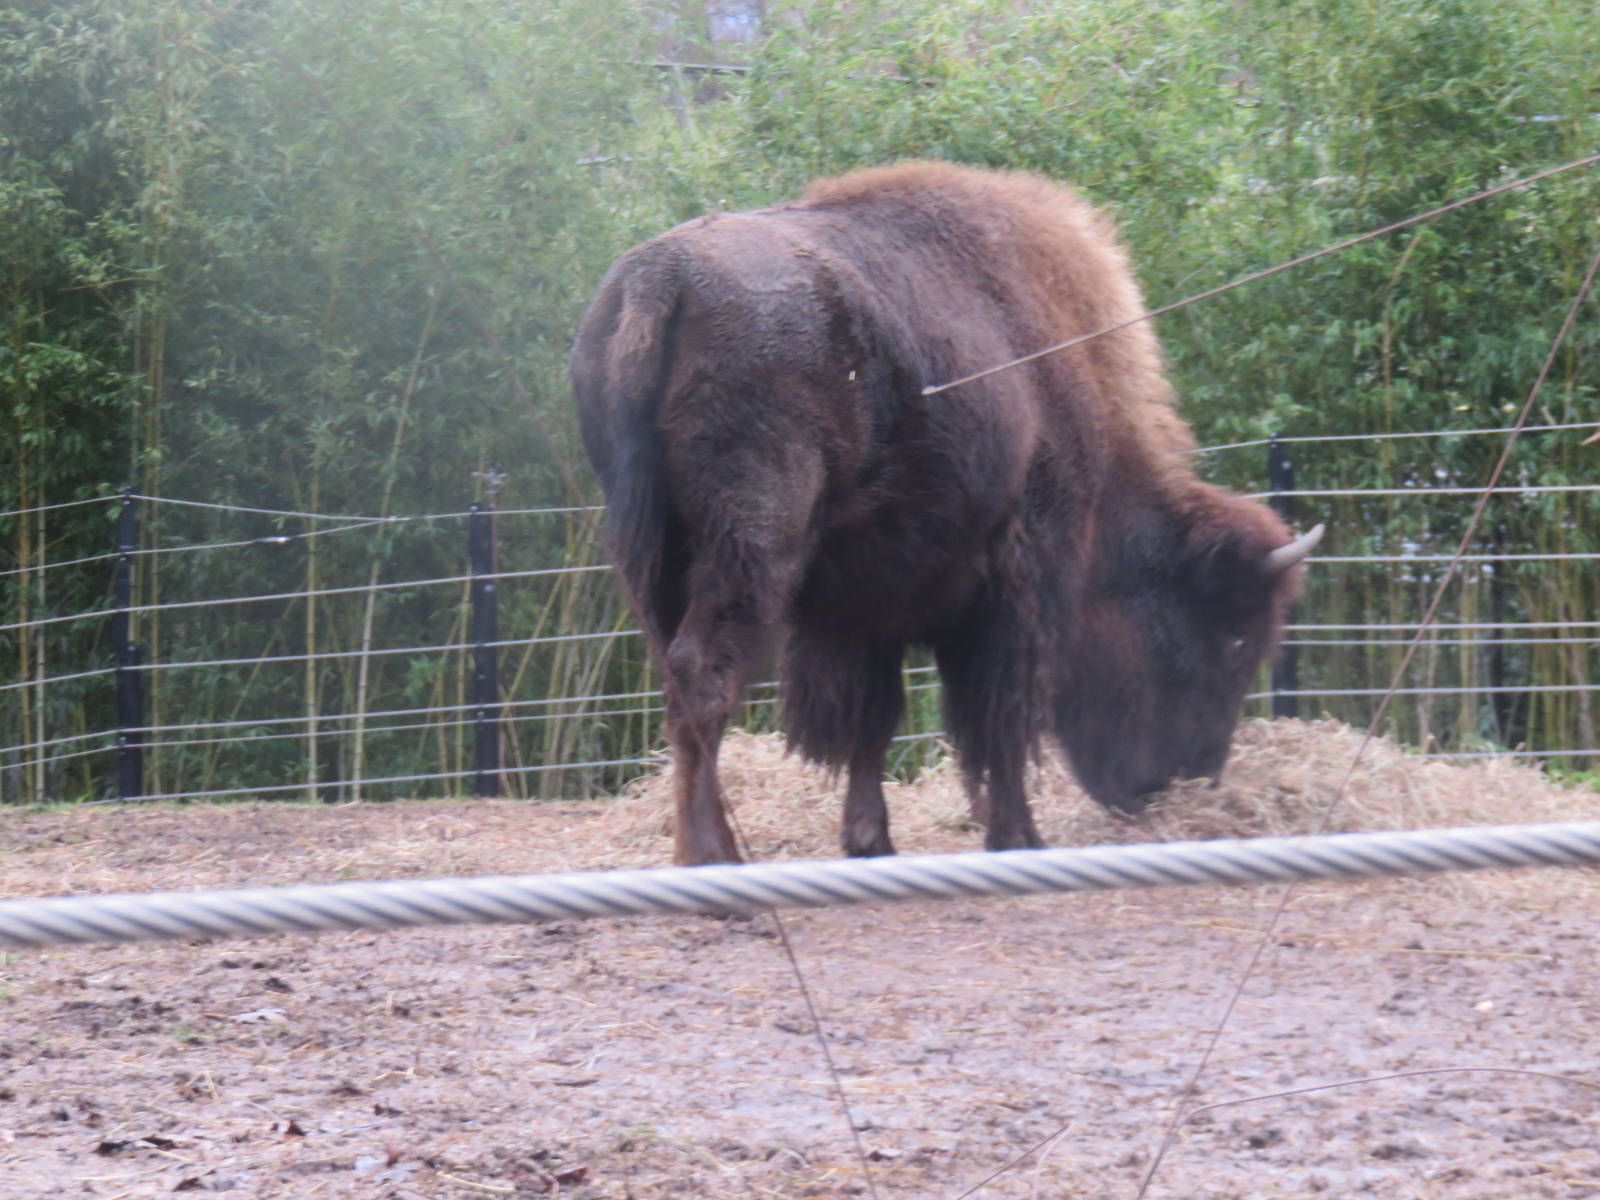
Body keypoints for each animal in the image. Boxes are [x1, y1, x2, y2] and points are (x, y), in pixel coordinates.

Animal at [572, 162, 1320, 866]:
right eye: (1233, 640)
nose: (1185, 783)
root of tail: (659, 279)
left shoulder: (865, 603)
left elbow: (875, 716)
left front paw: (870, 840)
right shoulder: (1016, 586)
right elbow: (998, 714)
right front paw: (1018, 837)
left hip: (653, 553)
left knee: (679, 681)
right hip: (752, 544)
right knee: (704, 676)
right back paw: (714, 860)